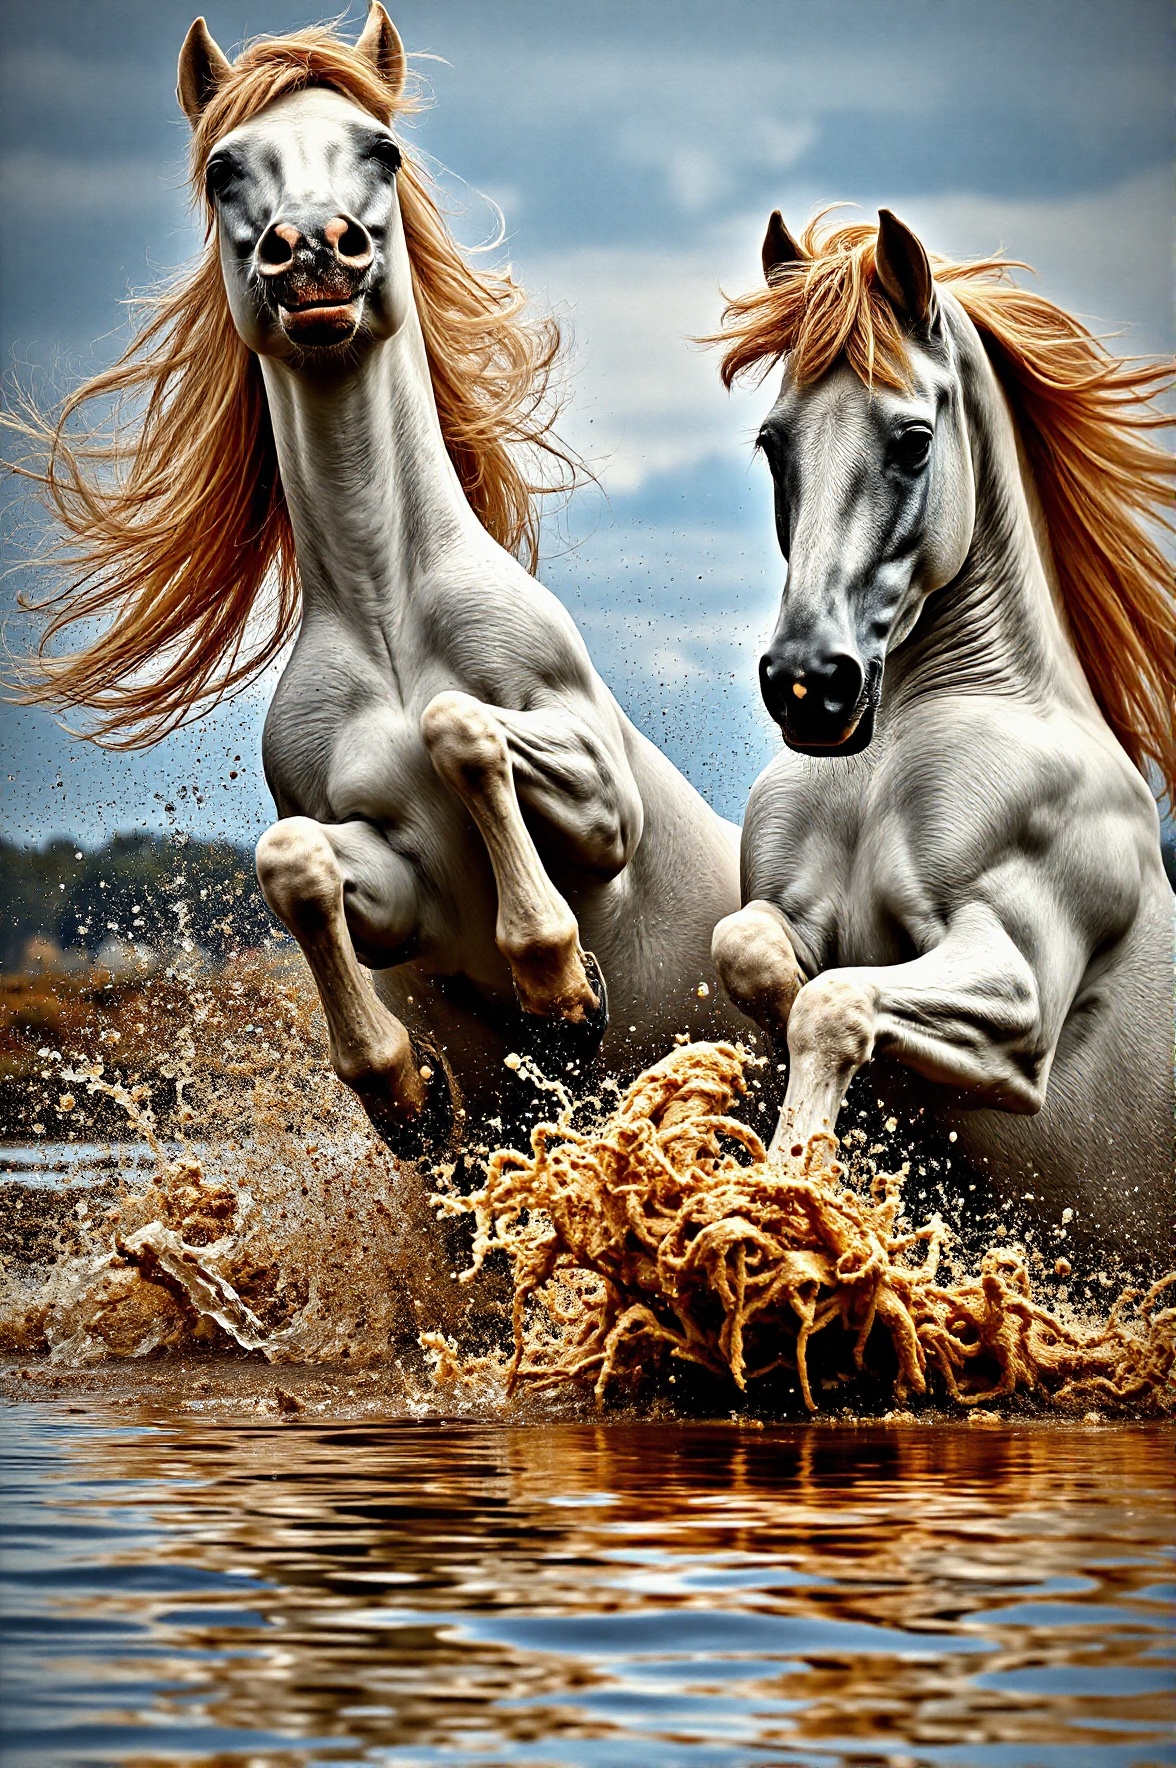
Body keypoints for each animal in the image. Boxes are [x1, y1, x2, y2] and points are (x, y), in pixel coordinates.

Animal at [13, 6, 743, 1159]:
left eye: (382, 149)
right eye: (224, 166)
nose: (315, 251)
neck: (391, 617)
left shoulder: (603, 807)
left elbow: (458, 724)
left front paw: (563, 991)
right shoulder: (393, 887)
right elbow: (292, 862)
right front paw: (405, 1087)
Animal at [707, 209, 1175, 1268]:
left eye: (914, 440)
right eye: (772, 443)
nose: (810, 684)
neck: (887, 760)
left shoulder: (1017, 991)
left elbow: (836, 1002)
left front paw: (792, 1201)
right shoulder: (782, 910)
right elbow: (762, 960)